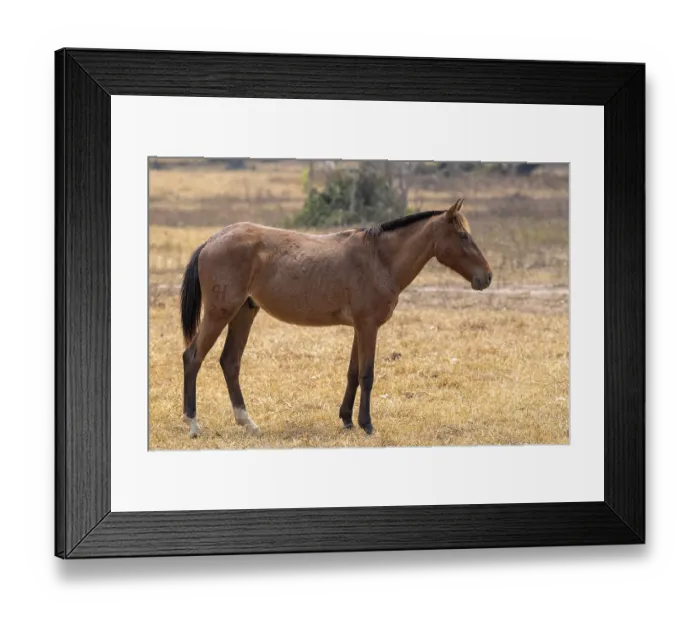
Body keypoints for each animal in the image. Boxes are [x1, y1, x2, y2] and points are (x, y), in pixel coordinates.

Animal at [179, 198, 492, 439]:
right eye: (463, 236)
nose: (486, 277)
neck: (379, 259)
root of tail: (212, 240)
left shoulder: (360, 328)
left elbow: (353, 373)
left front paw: (347, 420)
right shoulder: (368, 327)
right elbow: (367, 375)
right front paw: (367, 424)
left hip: (244, 313)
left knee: (230, 362)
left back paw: (249, 423)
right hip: (220, 313)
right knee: (193, 357)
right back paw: (193, 424)